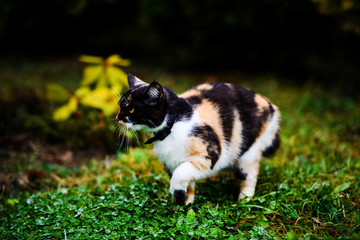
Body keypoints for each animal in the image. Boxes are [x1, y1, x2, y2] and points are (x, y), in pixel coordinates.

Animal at [116, 73, 280, 204]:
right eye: (119, 105)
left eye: (131, 109)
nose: (118, 117)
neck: (172, 128)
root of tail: (272, 106)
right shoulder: (171, 163)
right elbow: (187, 182)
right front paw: (185, 205)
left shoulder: (210, 154)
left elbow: (180, 174)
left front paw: (176, 192)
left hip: (250, 153)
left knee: (249, 178)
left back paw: (243, 202)